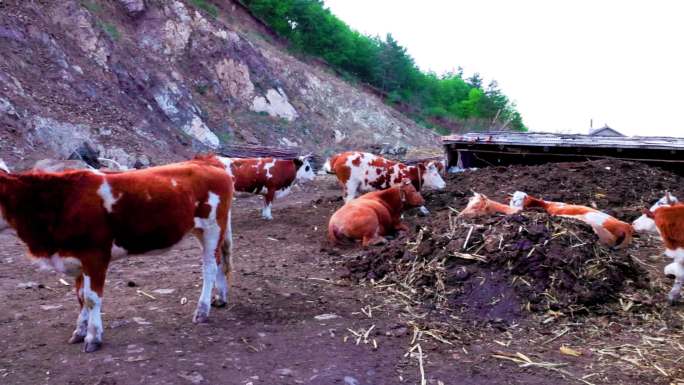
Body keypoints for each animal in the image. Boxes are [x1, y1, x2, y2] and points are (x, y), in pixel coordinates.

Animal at [0, 155, 235, 352]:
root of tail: (209, 162)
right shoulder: (77, 259)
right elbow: (80, 296)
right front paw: (80, 331)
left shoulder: (95, 256)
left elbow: (92, 298)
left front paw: (93, 337)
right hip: (208, 230)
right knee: (219, 261)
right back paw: (220, 298)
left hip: (212, 228)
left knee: (209, 268)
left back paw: (202, 310)